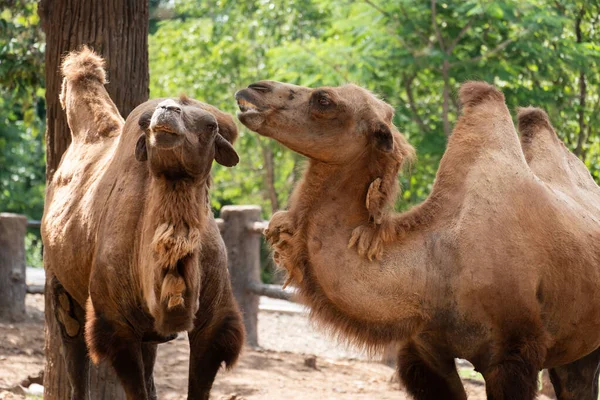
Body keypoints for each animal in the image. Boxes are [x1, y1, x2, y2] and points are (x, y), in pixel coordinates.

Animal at [41, 47, 244, 400]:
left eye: (209, 125)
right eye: (148, 123)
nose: (167, 110)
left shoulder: (214, 326)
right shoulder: (115, 324)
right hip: (58, 279)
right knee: (73, 346)